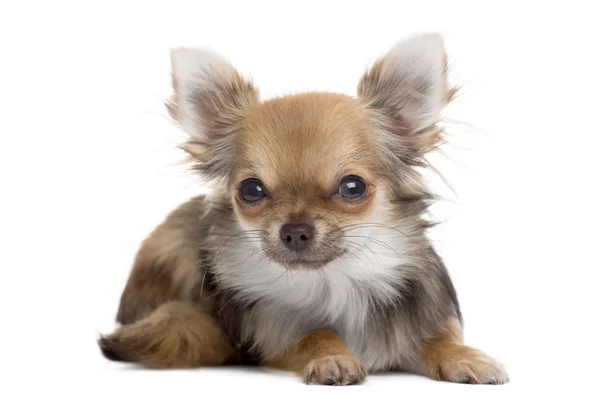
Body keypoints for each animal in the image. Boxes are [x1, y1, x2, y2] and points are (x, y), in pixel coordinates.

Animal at [98, 33, 506, 384]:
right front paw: (332, 356)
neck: (333, 282)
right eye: (251, 190)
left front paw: (464, 356)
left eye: (352, 187)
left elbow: (438, 339)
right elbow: (315, 333)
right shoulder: (272, 338)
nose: (294, 230)